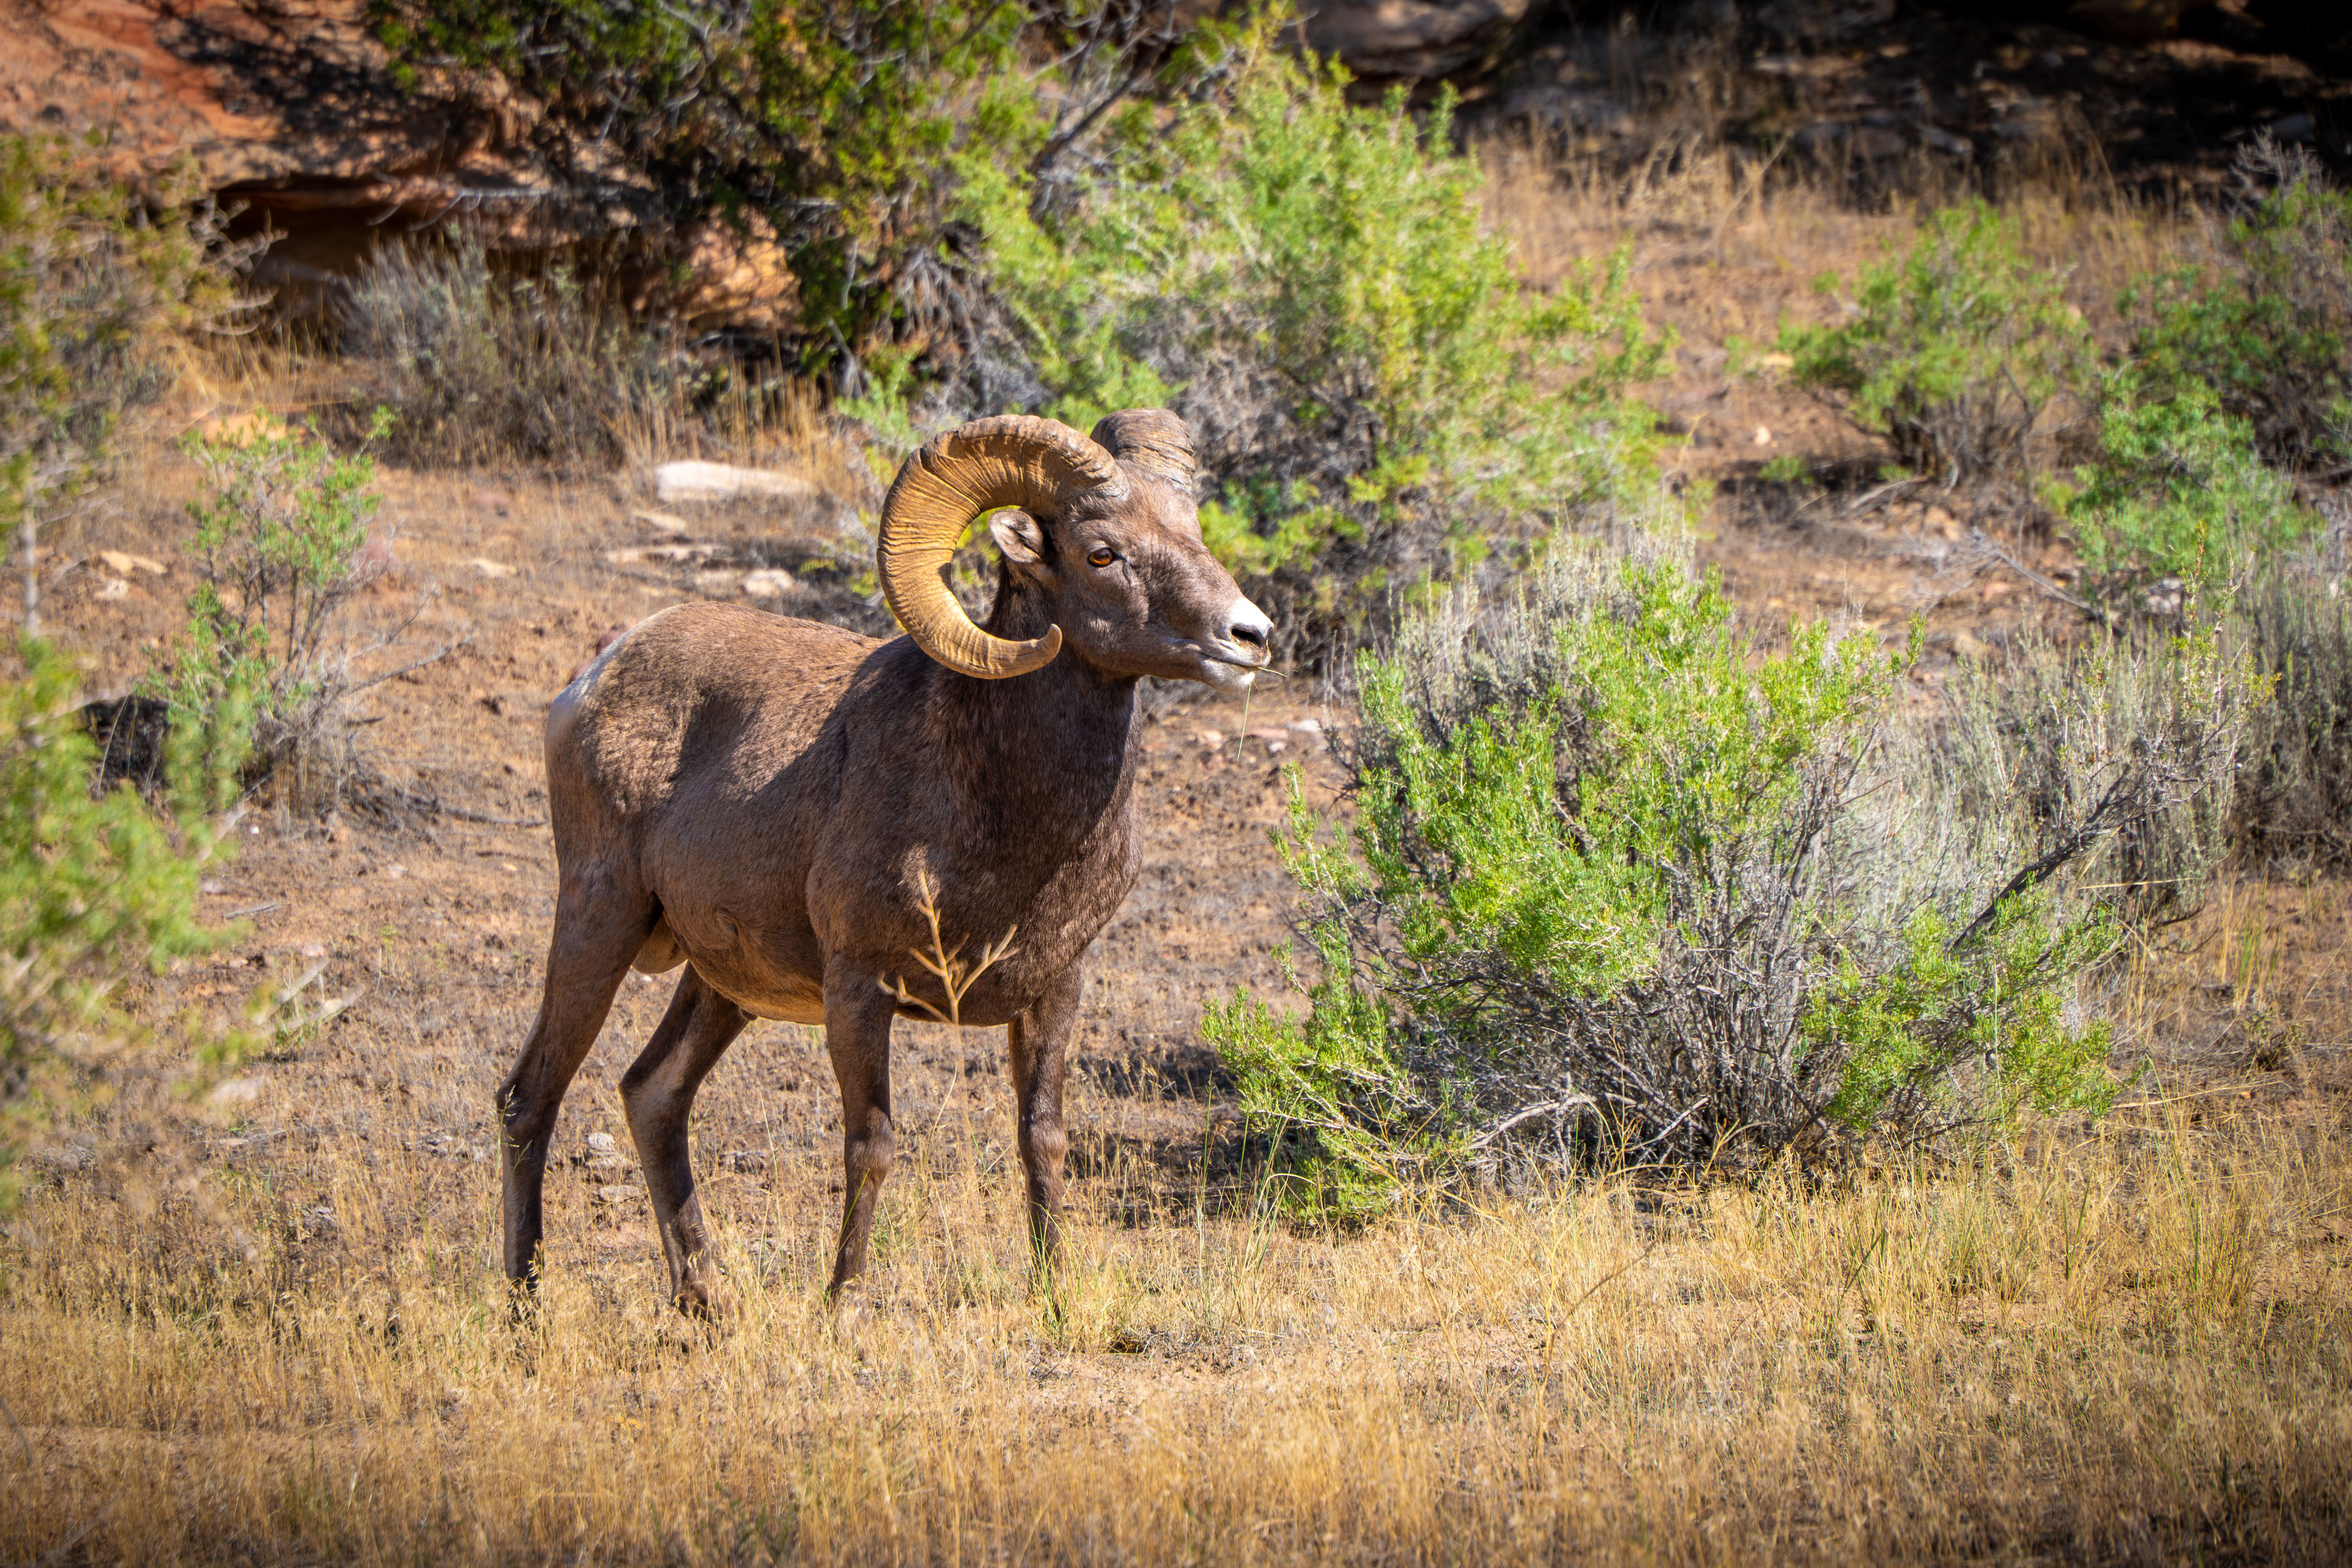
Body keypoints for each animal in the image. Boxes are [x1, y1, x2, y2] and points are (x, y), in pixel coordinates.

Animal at [496, 409, 1273, 1311]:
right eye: (1102, 553)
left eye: (1191, 529)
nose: (1248, 636)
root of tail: (597, 669)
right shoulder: (859, 992)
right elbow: (872, 1146)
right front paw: (844, 1305)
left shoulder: (1055, 991)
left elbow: (1041, 1139)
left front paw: (1054, 1294)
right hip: (601, 919)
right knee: (529, 1099)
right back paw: (525, 1307)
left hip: (720, 985)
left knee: (652, 1096)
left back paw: (705, 1305)